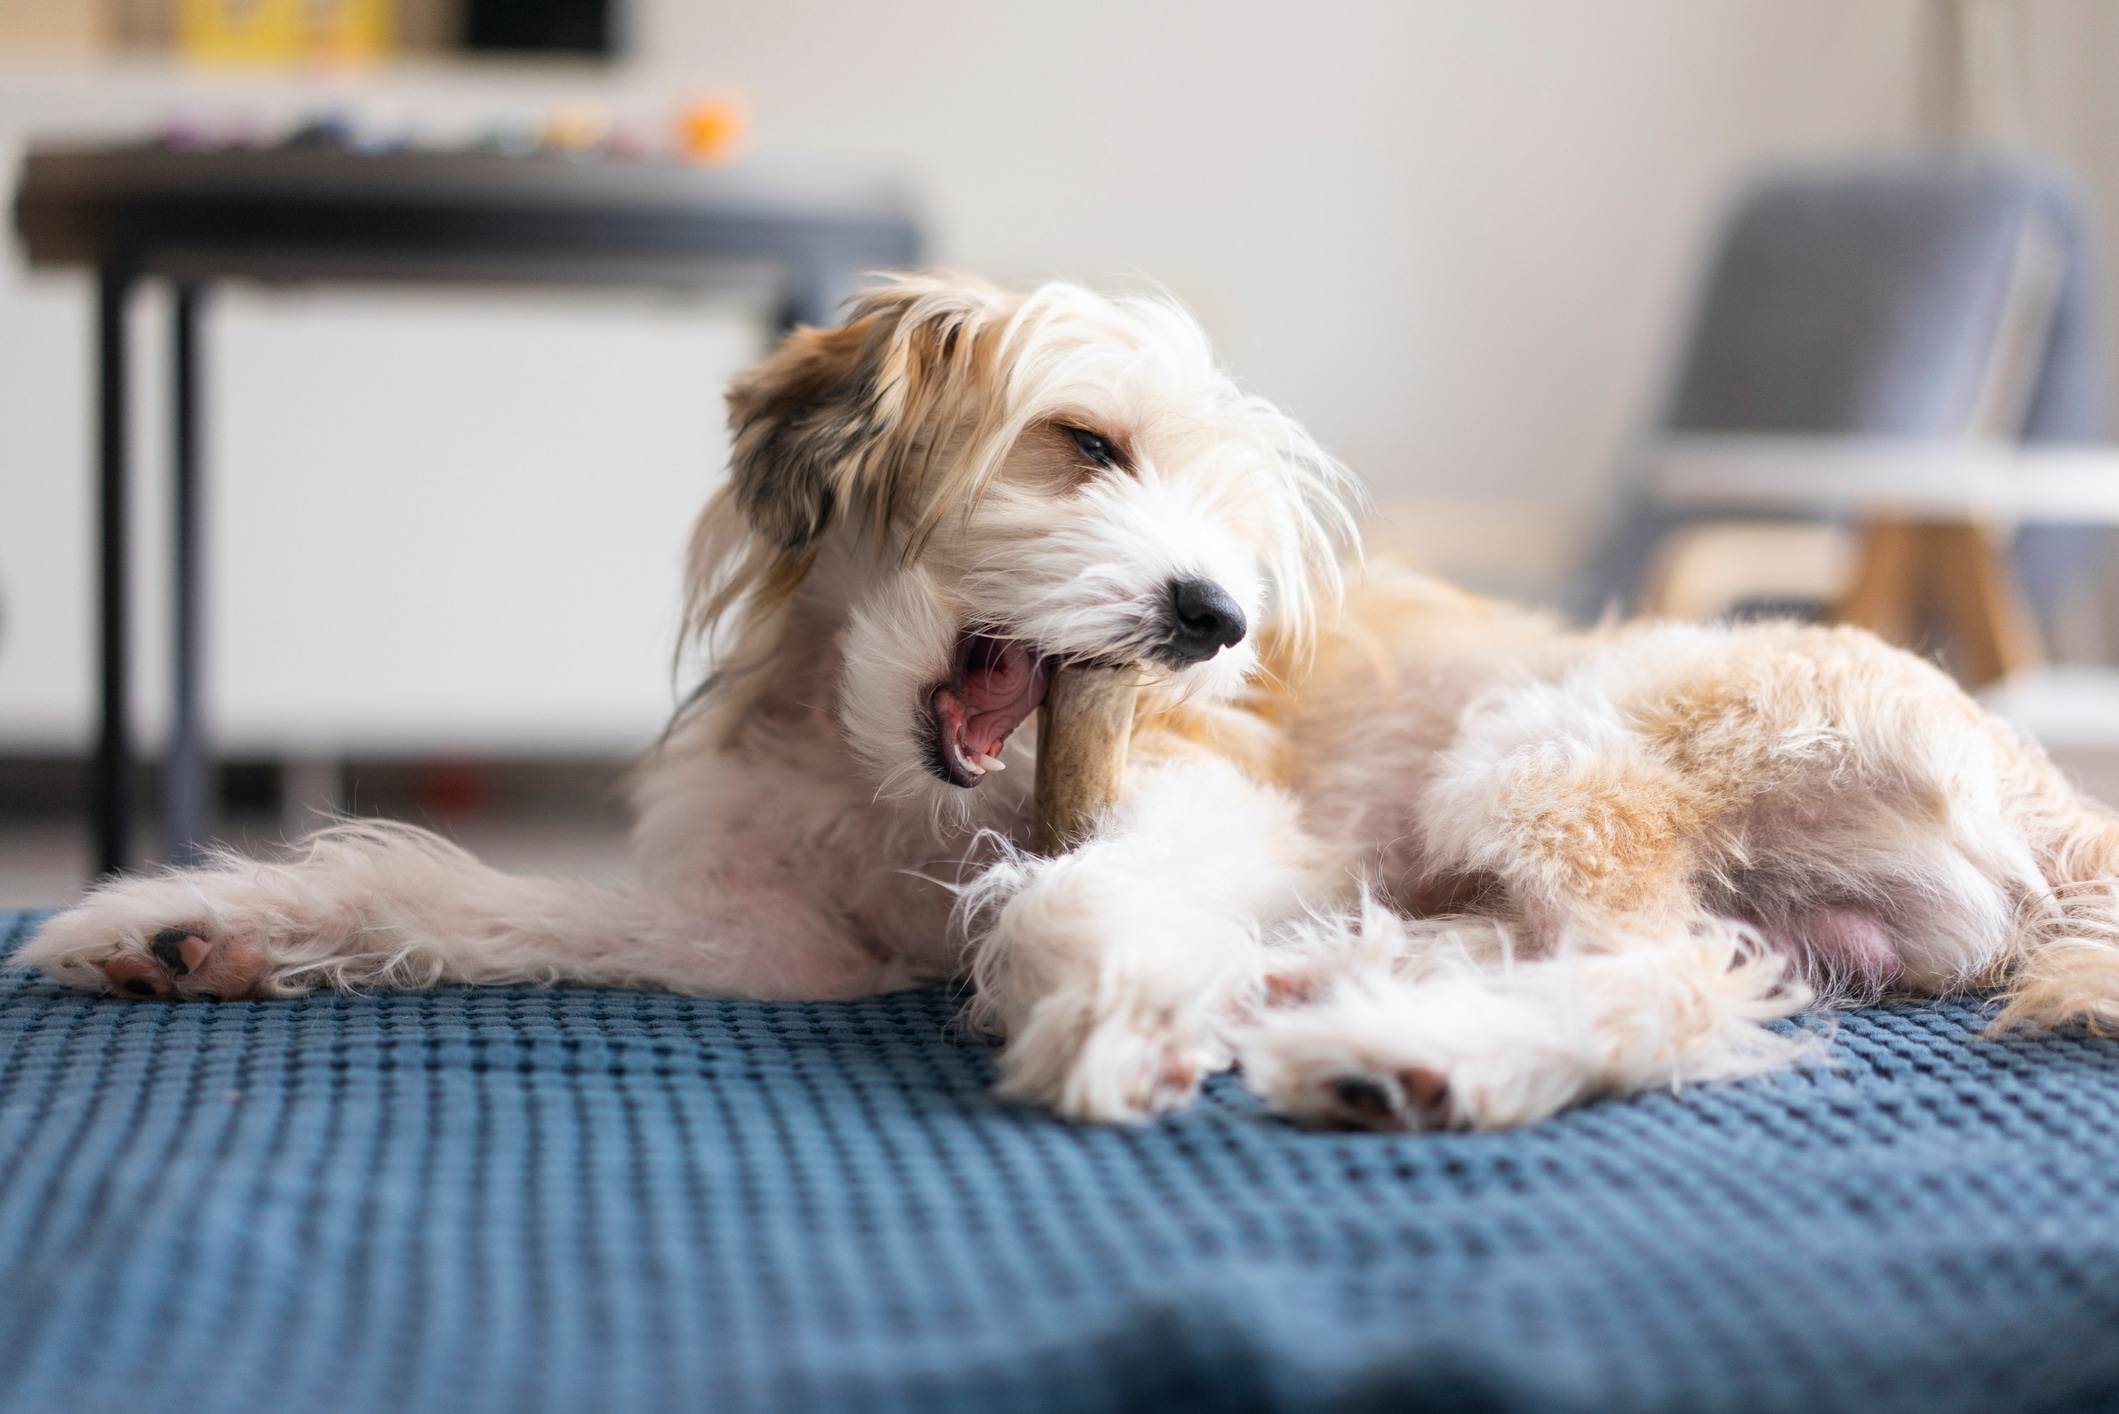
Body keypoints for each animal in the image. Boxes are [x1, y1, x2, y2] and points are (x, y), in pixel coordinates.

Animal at [24, 271, 2119, 1136]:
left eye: (1234, 546)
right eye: (1083, 443)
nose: (1204, 617)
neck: (887, 773)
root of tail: (2044, 784)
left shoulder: (1196, 803)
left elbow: (1064, 888)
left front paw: (1109, 1003)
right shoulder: (762, 935)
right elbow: (455, 887)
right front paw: (195, 920)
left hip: (1544, 749)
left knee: (1673, 974)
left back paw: (1413, 1052)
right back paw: (1336, 986)